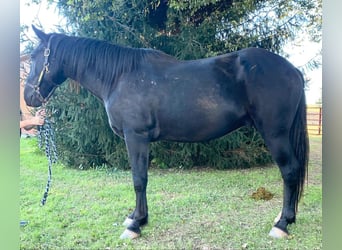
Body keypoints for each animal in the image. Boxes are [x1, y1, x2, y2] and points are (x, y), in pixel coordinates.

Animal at [24, 25, 308, 240]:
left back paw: (282, 224)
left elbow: (139, 179)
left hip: (275, 134)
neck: (120, 77)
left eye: (36, 55)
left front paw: (135, 225)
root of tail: (293, 70)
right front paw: (138, 217)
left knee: (290, 170)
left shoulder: (136, 136)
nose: (29, 97)